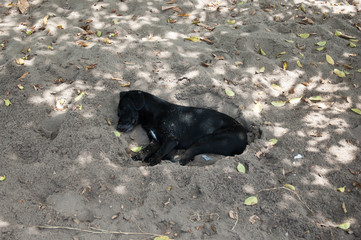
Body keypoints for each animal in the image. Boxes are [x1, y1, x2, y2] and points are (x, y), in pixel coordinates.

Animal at [116, 90, 246, 165]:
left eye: (124, 109)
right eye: (118, 113)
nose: (117, 128)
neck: (154, 114)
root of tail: (245, 137)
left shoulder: (171, 139)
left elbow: (160, 151)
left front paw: (153, 160)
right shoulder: (155, 141)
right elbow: (146, 149)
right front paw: (139, 156)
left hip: (207, 140)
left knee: (185, 158)